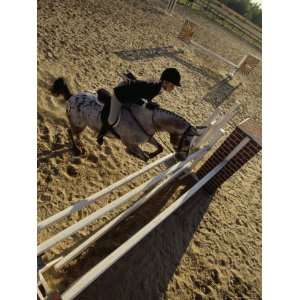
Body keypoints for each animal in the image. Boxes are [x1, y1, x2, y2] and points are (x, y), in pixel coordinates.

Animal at [51, 78, 206, 162]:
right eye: (186, 141)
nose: (183, 158)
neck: (150, 120)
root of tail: (72, 96)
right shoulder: (129, 142)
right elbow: (144, 157)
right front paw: (134, 153)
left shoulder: (148, 137)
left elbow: (160, 148)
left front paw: (150, 153)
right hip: (78, 123)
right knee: (70, 131)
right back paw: (77, 149)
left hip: (82, 124)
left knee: (76, 134)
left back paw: (81, 146)